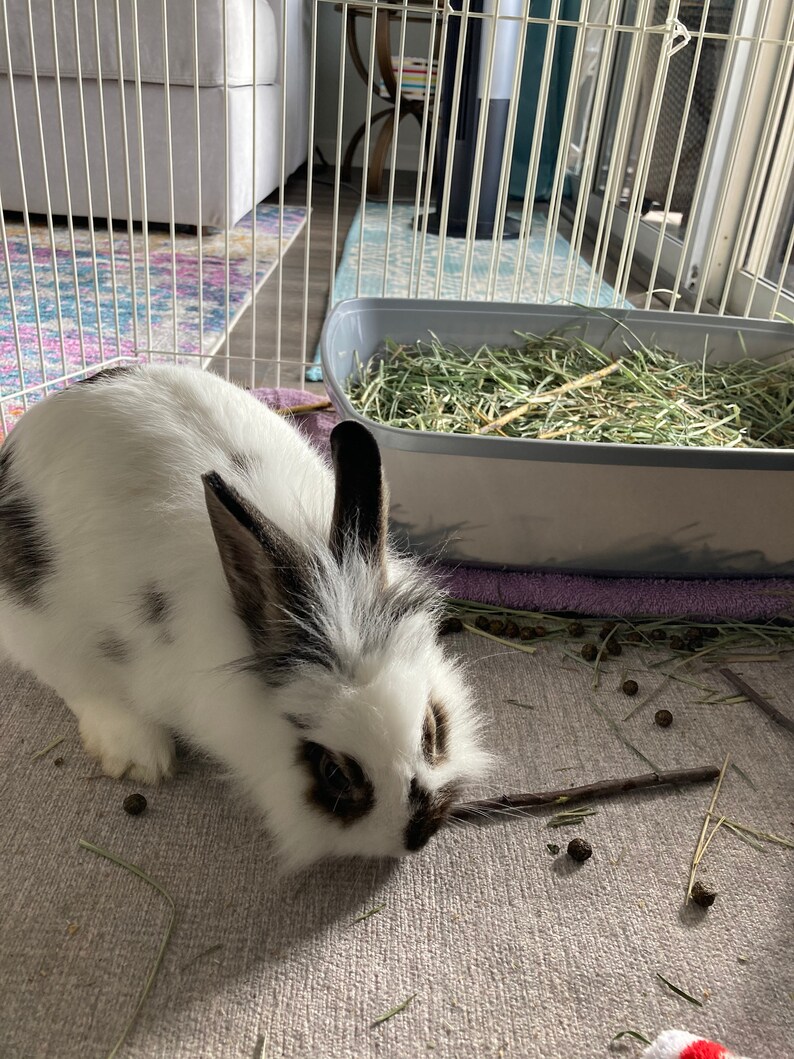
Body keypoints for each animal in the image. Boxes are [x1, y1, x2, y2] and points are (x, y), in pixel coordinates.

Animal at [0, 364, 489, 868]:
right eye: (332, 773)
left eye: (431, 728)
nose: (417, 836)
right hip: (38, 626)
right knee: (78, 684)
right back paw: (138, 756)